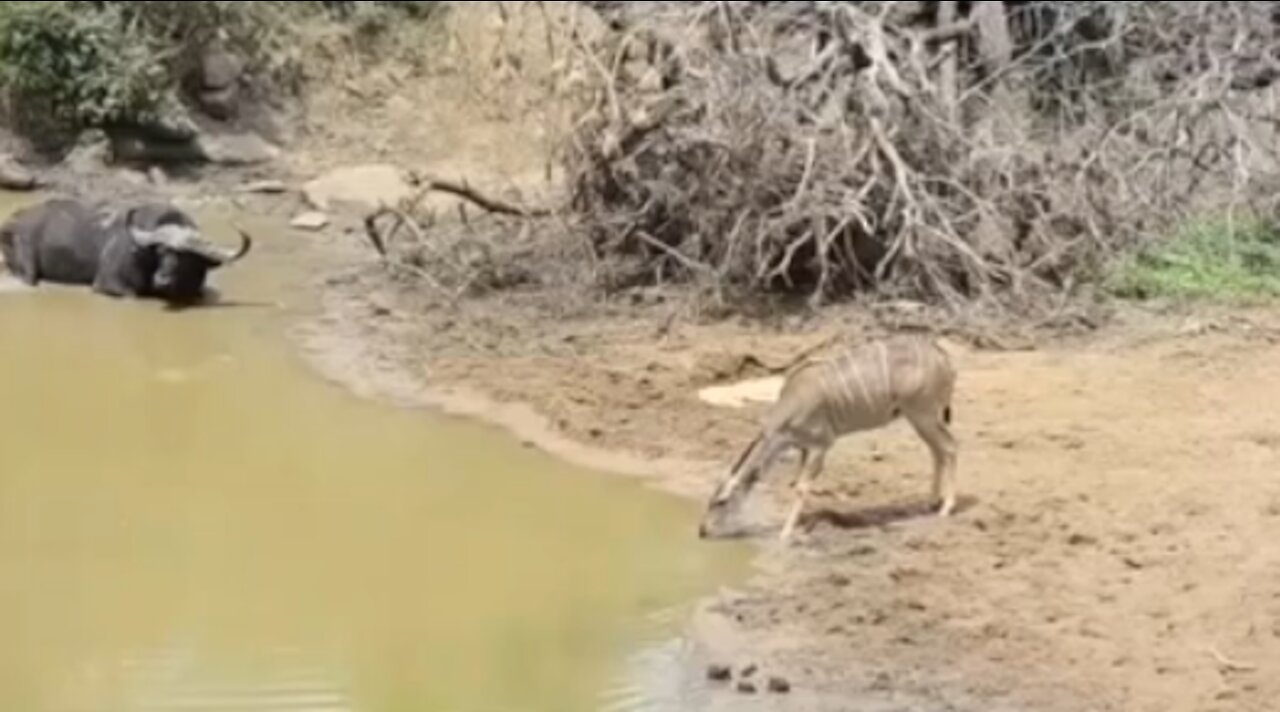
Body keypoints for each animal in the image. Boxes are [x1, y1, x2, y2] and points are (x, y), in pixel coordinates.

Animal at [0, 195, 252, 304]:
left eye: (186, 256)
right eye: (161, 251)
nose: (162, 280)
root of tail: (10, 223)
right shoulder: (108, 282)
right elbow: (132, 295)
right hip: (26, 264)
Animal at [696, 332, 957, 540]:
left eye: (721, 501)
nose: (702, 531)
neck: (792, 400)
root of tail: (942, 355)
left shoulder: (820, 445)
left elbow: (801, 487)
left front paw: (785, 533)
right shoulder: (803, 447)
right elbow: (796, 483)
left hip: (922, 413)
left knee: (950, 446)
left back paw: (946, 508)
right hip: (918, 417)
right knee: (937, 450)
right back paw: (932, 502)